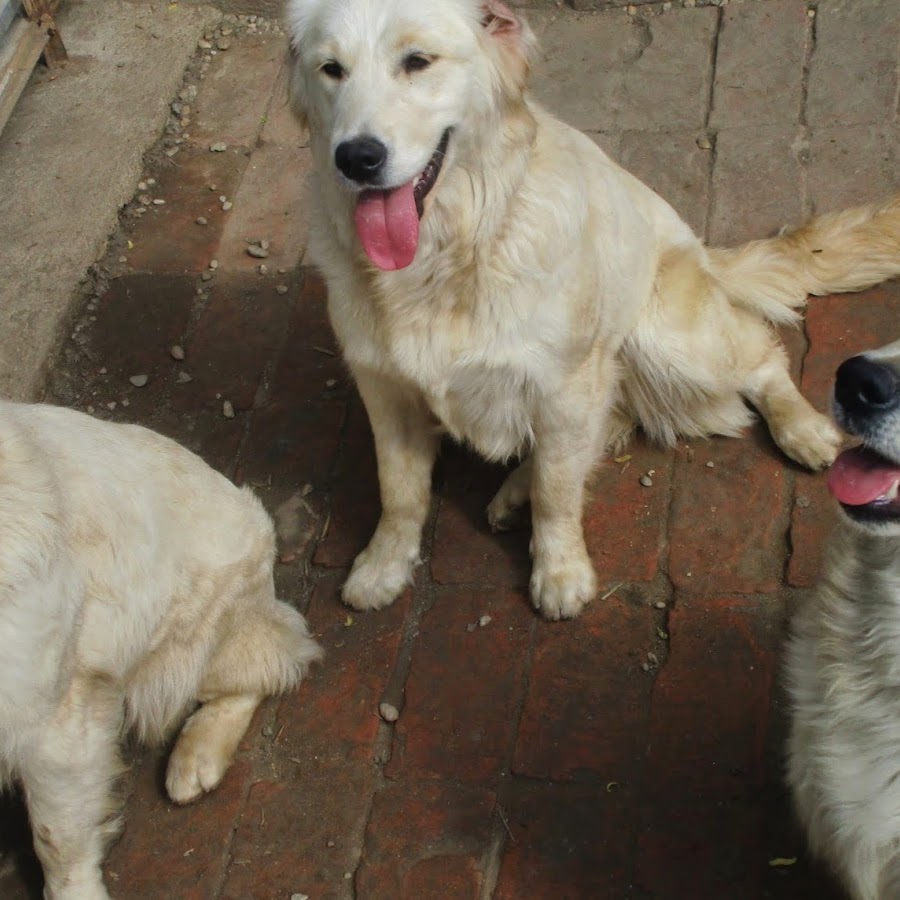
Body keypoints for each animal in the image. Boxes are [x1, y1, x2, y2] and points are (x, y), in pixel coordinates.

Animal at [286, 0, 900, 620]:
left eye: (417, 61)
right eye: (331, 69)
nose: (357, 158)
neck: (450, 252)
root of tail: (705, 252)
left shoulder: (565, 383)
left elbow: (557, 491)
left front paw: (560, 571)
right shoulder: (385, 388)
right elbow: (399, 490)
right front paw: (383, 564)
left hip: (666, 339)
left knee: (759, 354)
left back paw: (802, 428)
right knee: (613, 421)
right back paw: (515, 491)